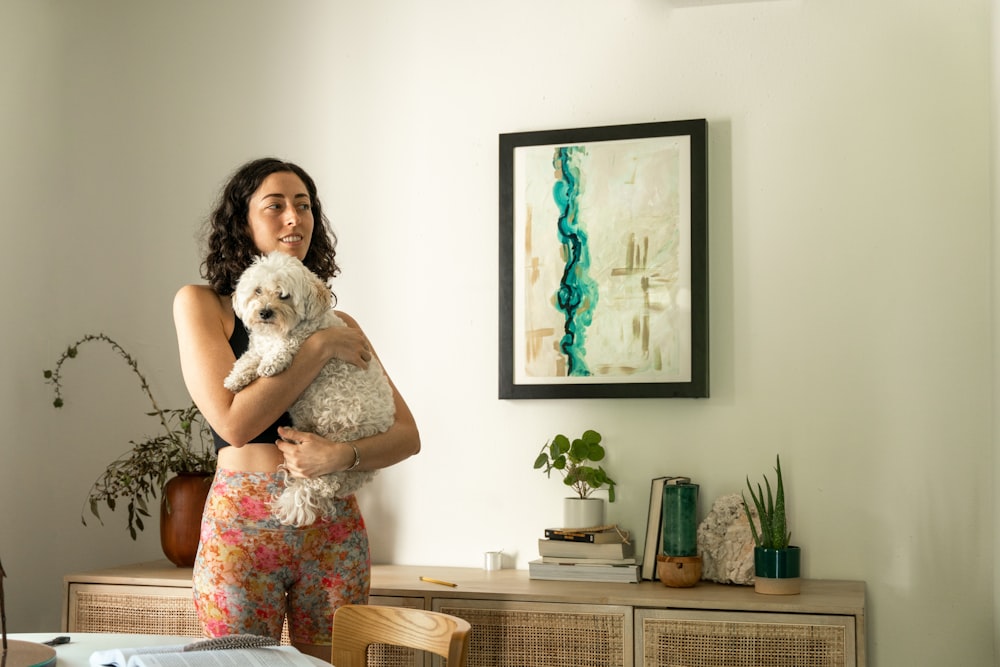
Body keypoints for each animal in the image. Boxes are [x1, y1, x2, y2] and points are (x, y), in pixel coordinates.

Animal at [225, 250, 396, 528]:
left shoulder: (305, 336)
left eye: (283, 295)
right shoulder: (259, 346)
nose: (265, 312)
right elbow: (249, 357)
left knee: (325, 482)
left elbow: (288, 344)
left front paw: (272, 363)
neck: (275, 332)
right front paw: (236, 377)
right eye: (258, 290)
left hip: (341, 440)